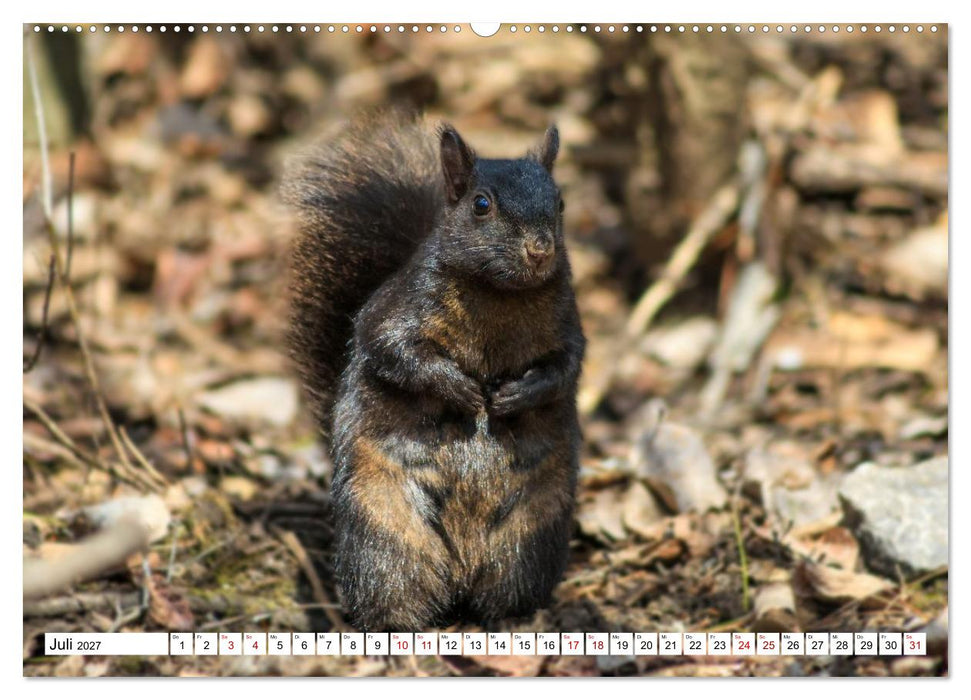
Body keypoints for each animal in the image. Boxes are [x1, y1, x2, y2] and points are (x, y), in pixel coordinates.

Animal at [284, 110, 585, 632]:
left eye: (561, 202)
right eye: (481, 205)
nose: (540, 250)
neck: (499, 293)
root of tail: (462, 572)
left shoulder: (567, 324)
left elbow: (566, 368)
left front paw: (516, 395)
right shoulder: (397, 309)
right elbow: (394, 350)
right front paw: (460, 390)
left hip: (530, 535)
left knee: (506, 589)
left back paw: (513, 621)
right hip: (384, 533)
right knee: (392, 588)